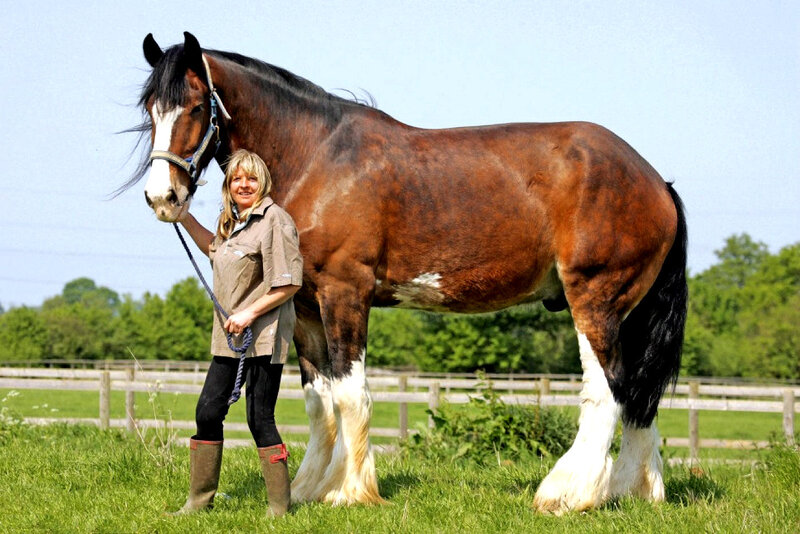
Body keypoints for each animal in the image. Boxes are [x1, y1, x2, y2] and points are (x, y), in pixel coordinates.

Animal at [130, 32, 687, 513]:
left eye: (195, 106)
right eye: (149, 109)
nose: (162, 198)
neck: (317, 157)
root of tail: (654, 180)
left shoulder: (345, 292)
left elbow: (351, 393)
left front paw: (351, 491)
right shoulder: (305, 305)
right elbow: (318, 400)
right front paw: (309, 488)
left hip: (594, 299)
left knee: (607, 391)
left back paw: (567, 493)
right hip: (627, 312)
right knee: (638, 397)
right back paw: (634, 491)